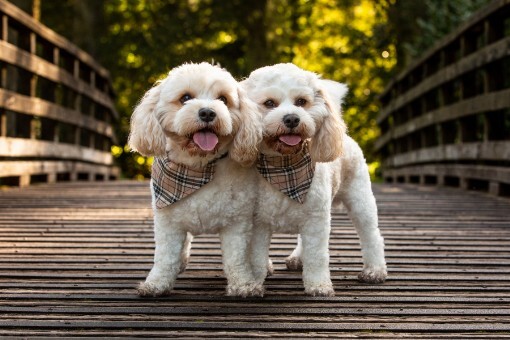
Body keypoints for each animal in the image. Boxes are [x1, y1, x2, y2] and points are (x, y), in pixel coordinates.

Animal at [127, 62, 262, 296]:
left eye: (223, 99)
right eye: (185, 98)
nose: (207, 112)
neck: (198, 168)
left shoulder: (237, 223)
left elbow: (236, 258)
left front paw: (244, 284)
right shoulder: (168, 222)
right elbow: (165, 258)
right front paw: (156, 283)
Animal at [243, 63, 386, 294]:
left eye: (302, 101)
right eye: (269, 103)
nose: (292, 119)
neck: (283, 169)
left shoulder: (316, 218)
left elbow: (317, 256)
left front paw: (319, 285)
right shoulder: (259, 221)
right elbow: (256, 257)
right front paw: (254, 282)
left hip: (360, 200)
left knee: (371, 235)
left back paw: (375, 270)